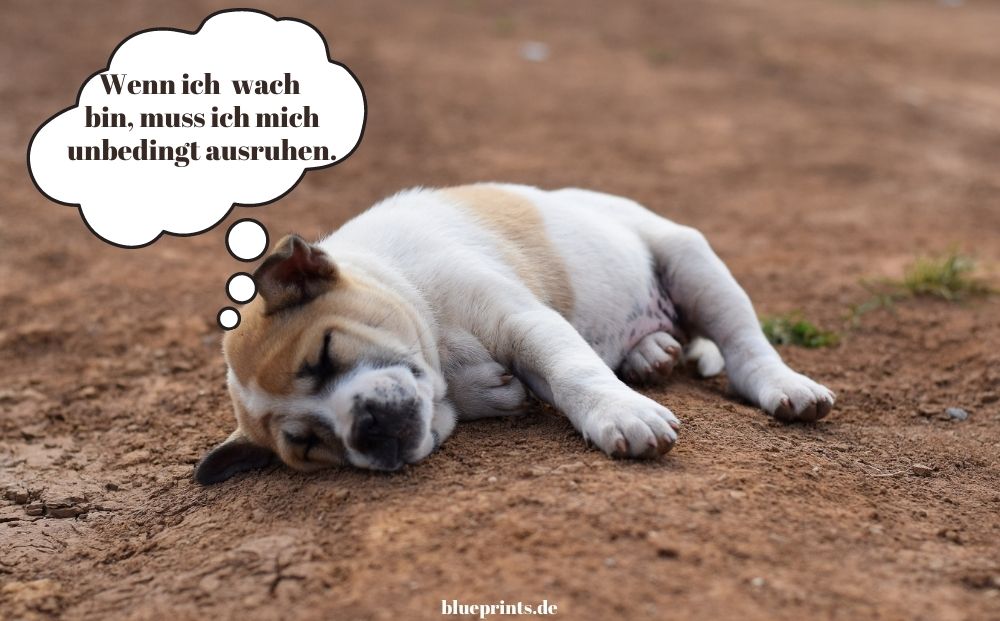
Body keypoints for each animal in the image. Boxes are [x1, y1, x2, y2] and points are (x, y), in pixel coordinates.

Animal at [195, 184, 835, 484]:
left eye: (325, 355)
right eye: (308, 444)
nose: (366, 429)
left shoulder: (522, 321)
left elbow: (573, 370)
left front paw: (620, 414)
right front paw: (492, 392)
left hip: (691, 260)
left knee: (746, 347)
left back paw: (785, 387)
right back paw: (649, 353)